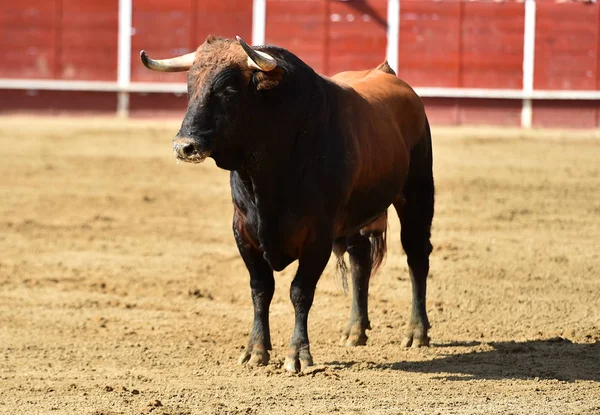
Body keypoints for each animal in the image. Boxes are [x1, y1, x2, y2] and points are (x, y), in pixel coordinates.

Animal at [139, 36, 436, 374]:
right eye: (191, 85)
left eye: (228, 89)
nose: (184, 146)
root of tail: (387, 74)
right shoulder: (243, 230)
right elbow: (260, 288)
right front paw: (255, 350)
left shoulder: (318, 236)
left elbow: (300, 291)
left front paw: (298, 354)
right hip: (356, 216)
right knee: (360, 261)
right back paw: (355, 331)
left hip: (416, 194)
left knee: (416, 256)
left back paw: (417, 332)